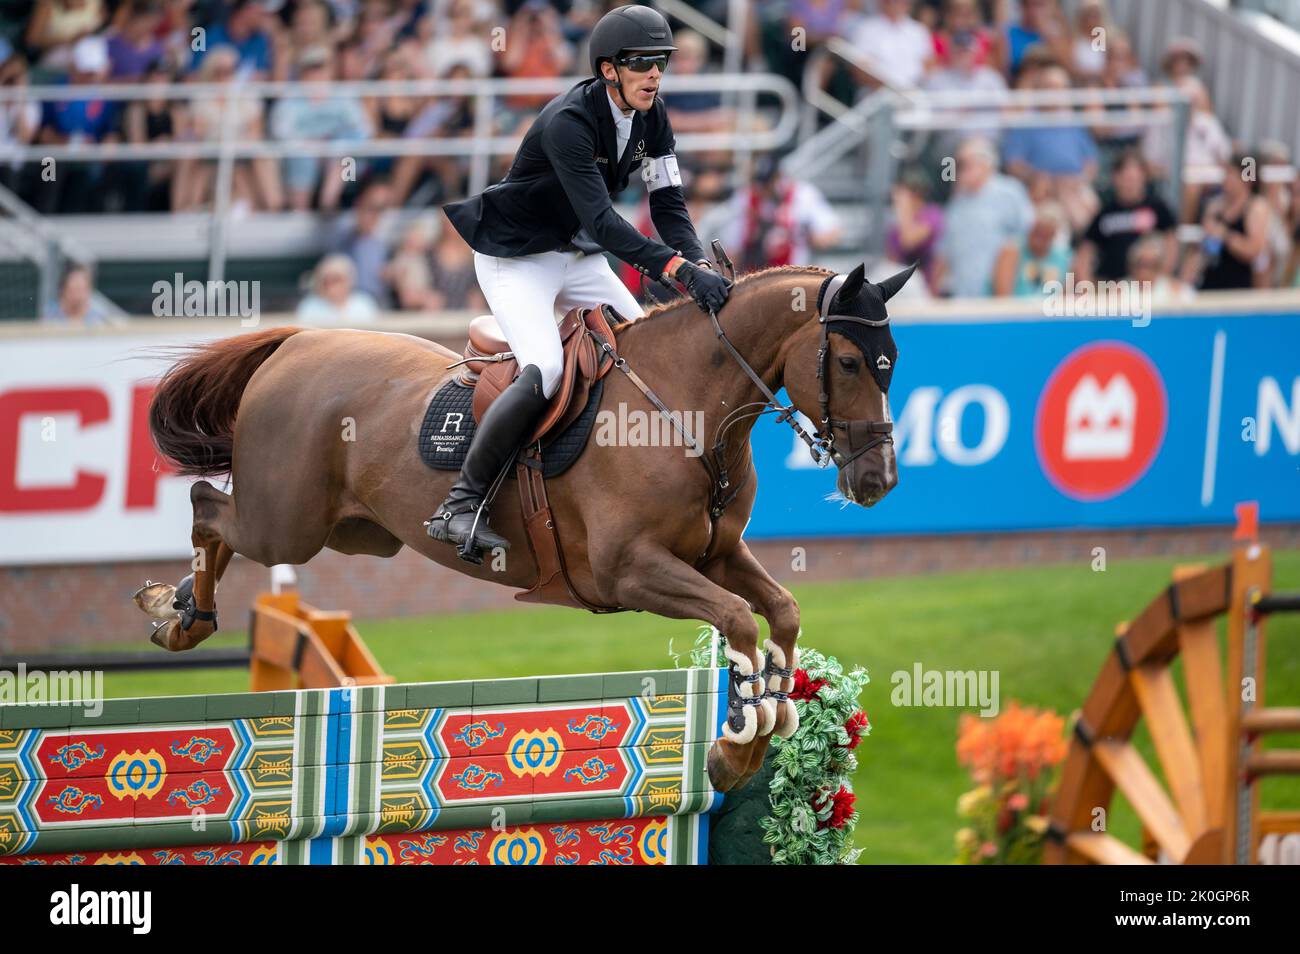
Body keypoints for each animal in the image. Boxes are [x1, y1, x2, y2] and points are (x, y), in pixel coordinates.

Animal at [131, 261, 904, 790]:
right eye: (847, 362)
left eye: (892, 365)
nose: (879, 481)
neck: (685, 409)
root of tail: (295, 345)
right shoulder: (630, 571)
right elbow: (741, 622)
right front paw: (738, 746)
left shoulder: (714, 554)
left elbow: (782, 611)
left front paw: (756, 733)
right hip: (286, 524)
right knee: (206, 505)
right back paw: (183, 617)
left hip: (352, 531)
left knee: (218, 517)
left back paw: (177, 607)